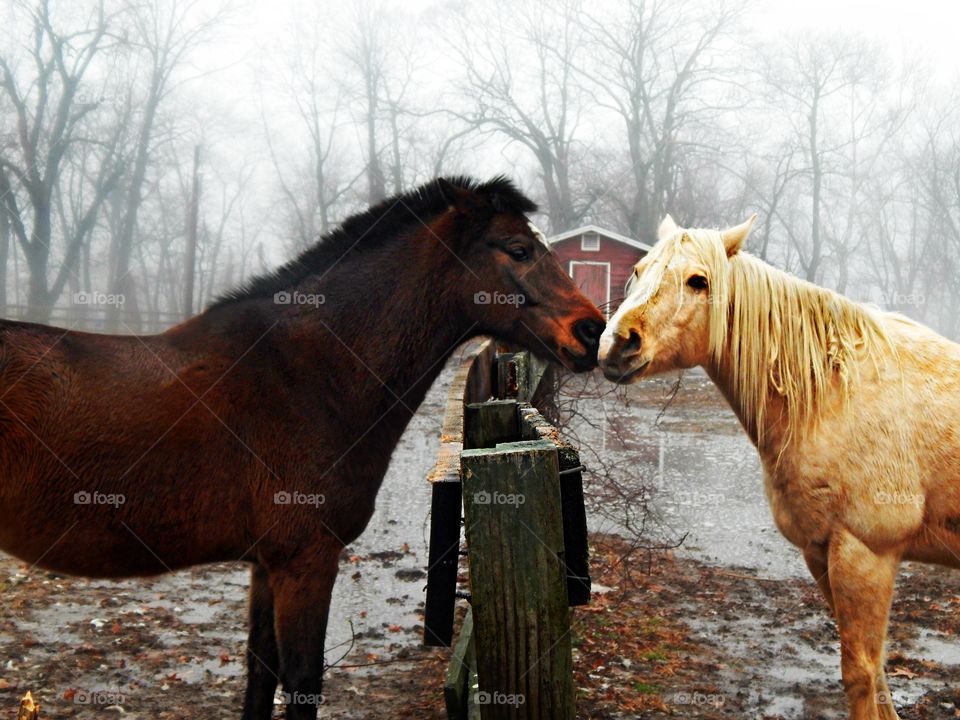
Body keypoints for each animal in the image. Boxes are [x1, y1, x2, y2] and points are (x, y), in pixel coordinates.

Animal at [0, 176, 604, 720]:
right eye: (519, 249)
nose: (592, 331)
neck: (309, 374)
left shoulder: (268, 566)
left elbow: (260, 676)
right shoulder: (305, 561)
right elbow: (302, 682)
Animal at [600, 217, 960, 720]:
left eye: (699, 281)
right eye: (638, 270)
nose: (618, 344)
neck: (830, 396)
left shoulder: (866, 555)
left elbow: (862, 674)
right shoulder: (820, 552)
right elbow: (880, 678)